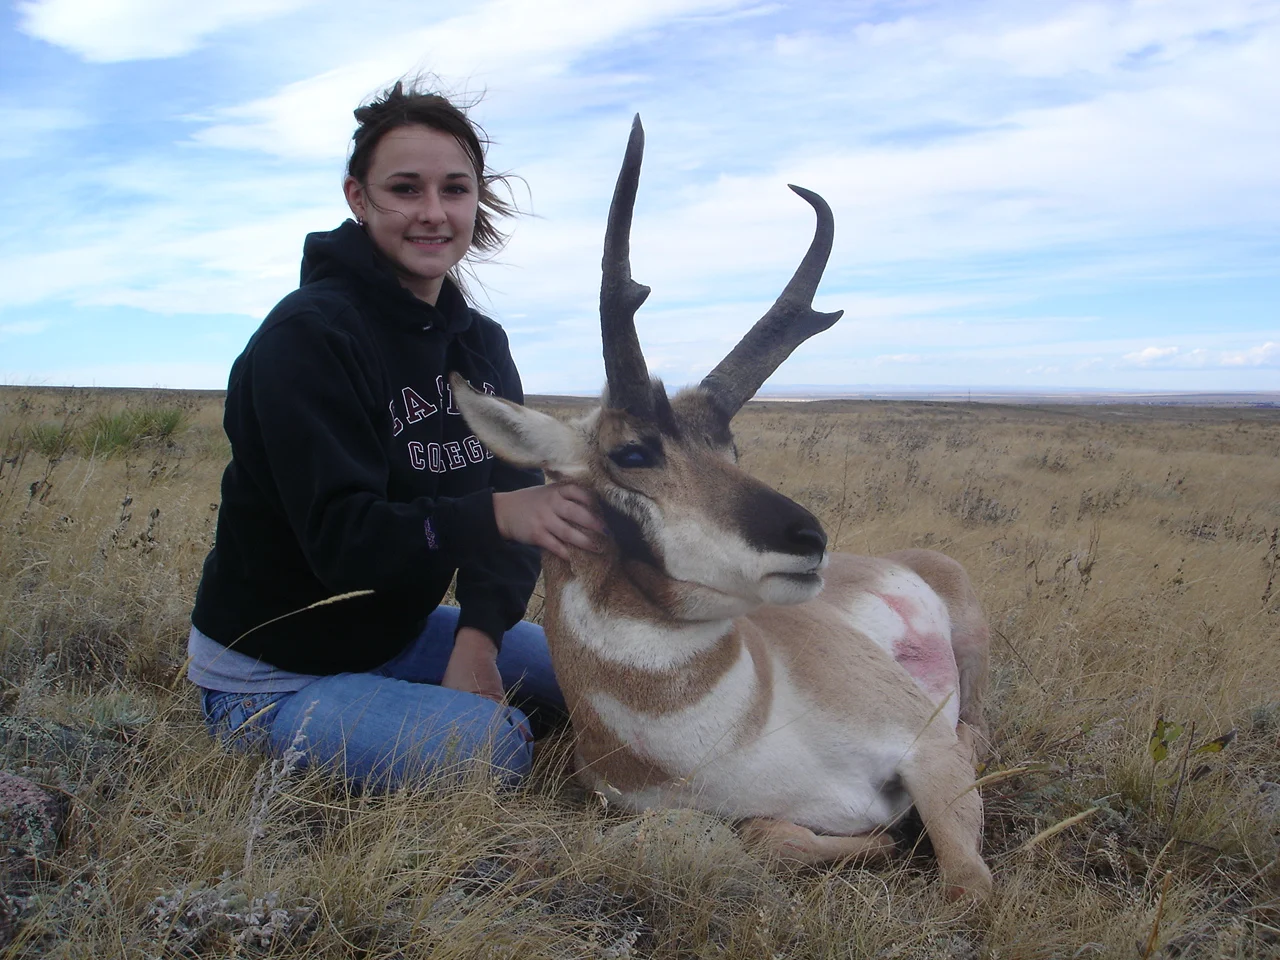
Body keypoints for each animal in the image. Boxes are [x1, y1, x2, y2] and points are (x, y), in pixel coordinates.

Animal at [454, 117, 994, 899]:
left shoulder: (929, 754)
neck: (747, 721)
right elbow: (769, 837)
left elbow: (966, 887)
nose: (807, 538)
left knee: (976, 727)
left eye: (730, 447)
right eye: (633, 453)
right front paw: (879, 843)